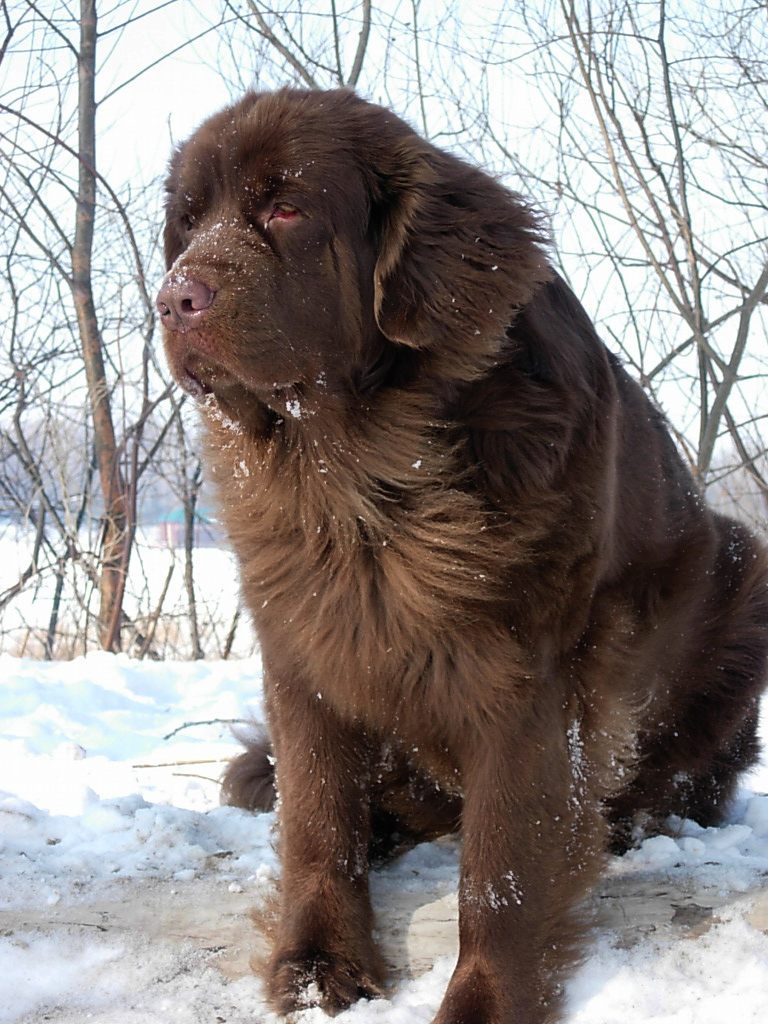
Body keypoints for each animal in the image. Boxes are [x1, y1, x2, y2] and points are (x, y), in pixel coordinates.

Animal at [157, 90, 768, 1024]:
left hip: (742, 577)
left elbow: (502, 867)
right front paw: (317, 963)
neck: (360, 478)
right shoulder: (303, 647)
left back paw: (633, 821)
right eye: (187, 224)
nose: (173, 296)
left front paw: (483, 1001)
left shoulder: (529, 677)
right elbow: (315, 819)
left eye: (286, 208)